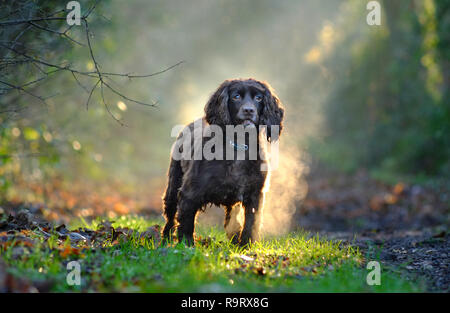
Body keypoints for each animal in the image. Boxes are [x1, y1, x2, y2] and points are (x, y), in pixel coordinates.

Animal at [160, 77, 284, 244]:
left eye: (258, 98)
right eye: (236, 96)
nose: (249, 110)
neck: (238, 145)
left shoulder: (255, 194)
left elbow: (250, 224)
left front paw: (245, 246)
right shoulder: (190, 192)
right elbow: (186, 223)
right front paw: (187, 246)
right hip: (174, 184)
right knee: (171, 216)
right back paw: (165, 240)